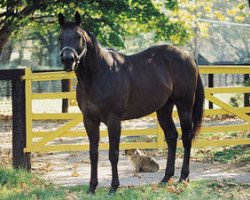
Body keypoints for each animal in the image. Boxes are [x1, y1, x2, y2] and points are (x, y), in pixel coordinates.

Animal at [57, 11, 204, 194]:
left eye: (78, 37)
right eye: (60, 37)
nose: (68, 60)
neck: (99, 74)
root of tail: (188, 55)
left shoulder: (113, 120)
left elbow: (113, 154)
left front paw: (113, 187)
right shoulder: (89, 121)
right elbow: (93, 154)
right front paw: (92, 188)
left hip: (184, 106)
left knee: (186, 137)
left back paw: (183, 177)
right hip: (164, 108)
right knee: (171, 137)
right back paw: (165, 178)